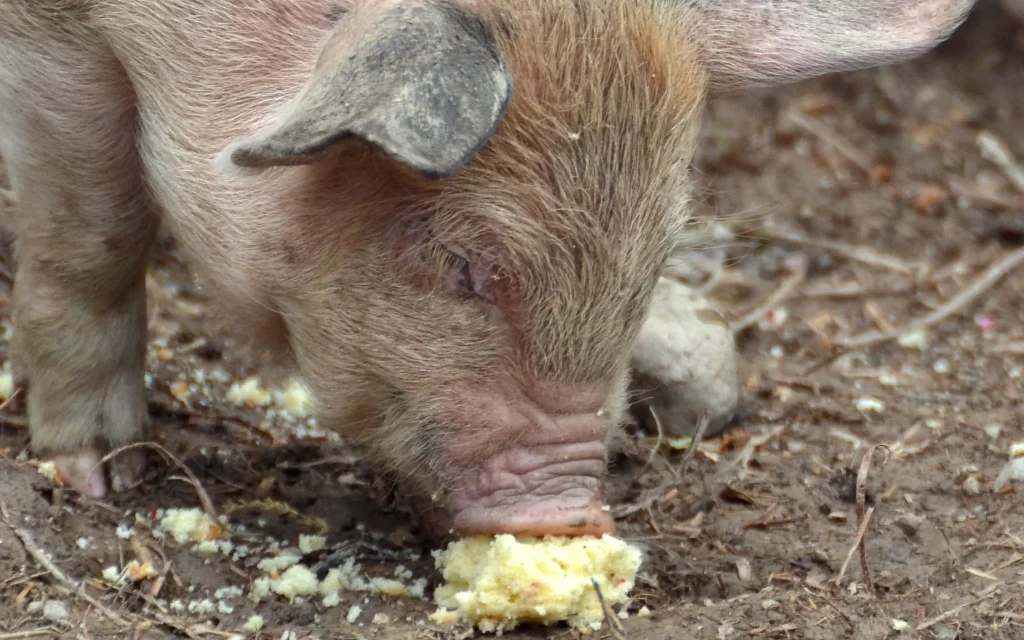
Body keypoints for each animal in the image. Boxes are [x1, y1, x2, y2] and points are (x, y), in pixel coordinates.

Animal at [0, 1, 974, 540]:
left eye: (654, 258)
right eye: (461, 265)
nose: (568, 512)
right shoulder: (58, 45)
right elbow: (96, 233)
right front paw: (101, 475)